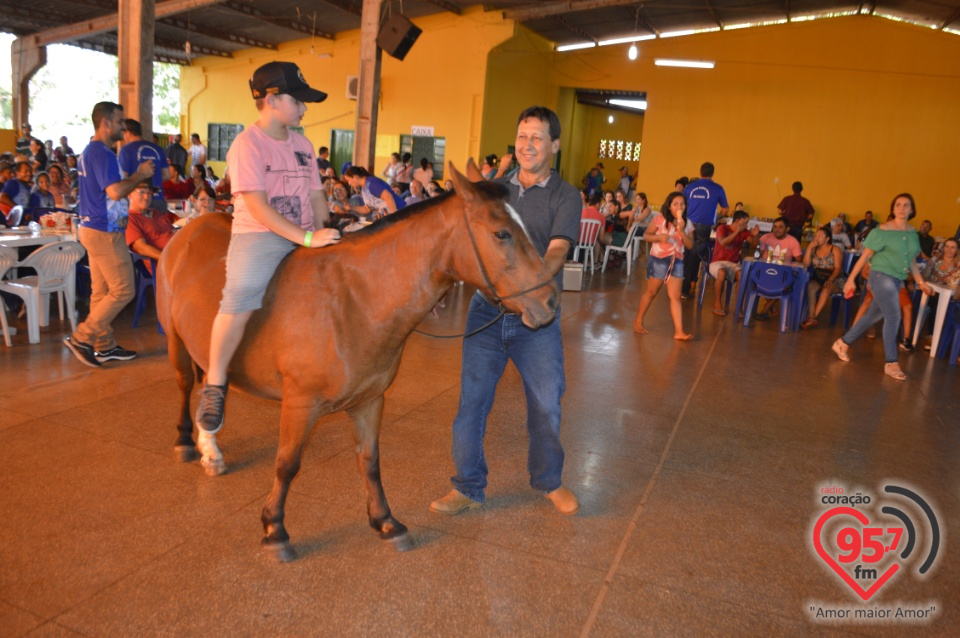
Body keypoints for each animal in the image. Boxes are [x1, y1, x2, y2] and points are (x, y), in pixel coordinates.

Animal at [157, 162, 560, 564]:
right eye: (502, 233)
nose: (550, 302)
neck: (354, 299)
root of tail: (189, 229)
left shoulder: (370, 402)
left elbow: (369, 461)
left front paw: (385, 522)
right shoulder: (300, 403)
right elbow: (287, 464)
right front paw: (274, 529)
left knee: (210, 381)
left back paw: (210, 449)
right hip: (176, 341)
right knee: (185, 383)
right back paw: (187, 441)